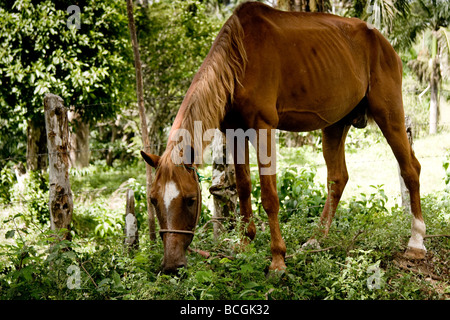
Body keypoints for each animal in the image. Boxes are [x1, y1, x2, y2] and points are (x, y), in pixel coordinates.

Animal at [142, 1, 426, 274]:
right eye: (153, 200)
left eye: (191, 200)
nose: (171, 265)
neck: (239, 59)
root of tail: (383, 42)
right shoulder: (234, 133)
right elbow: (243, 188)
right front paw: (245, 244)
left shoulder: (263, 129)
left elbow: (269, 197)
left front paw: (277, 259)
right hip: (335, 125)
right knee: (337, 179)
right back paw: (316, 239)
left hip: (389, 114)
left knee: (410, 169)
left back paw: (416, 242)